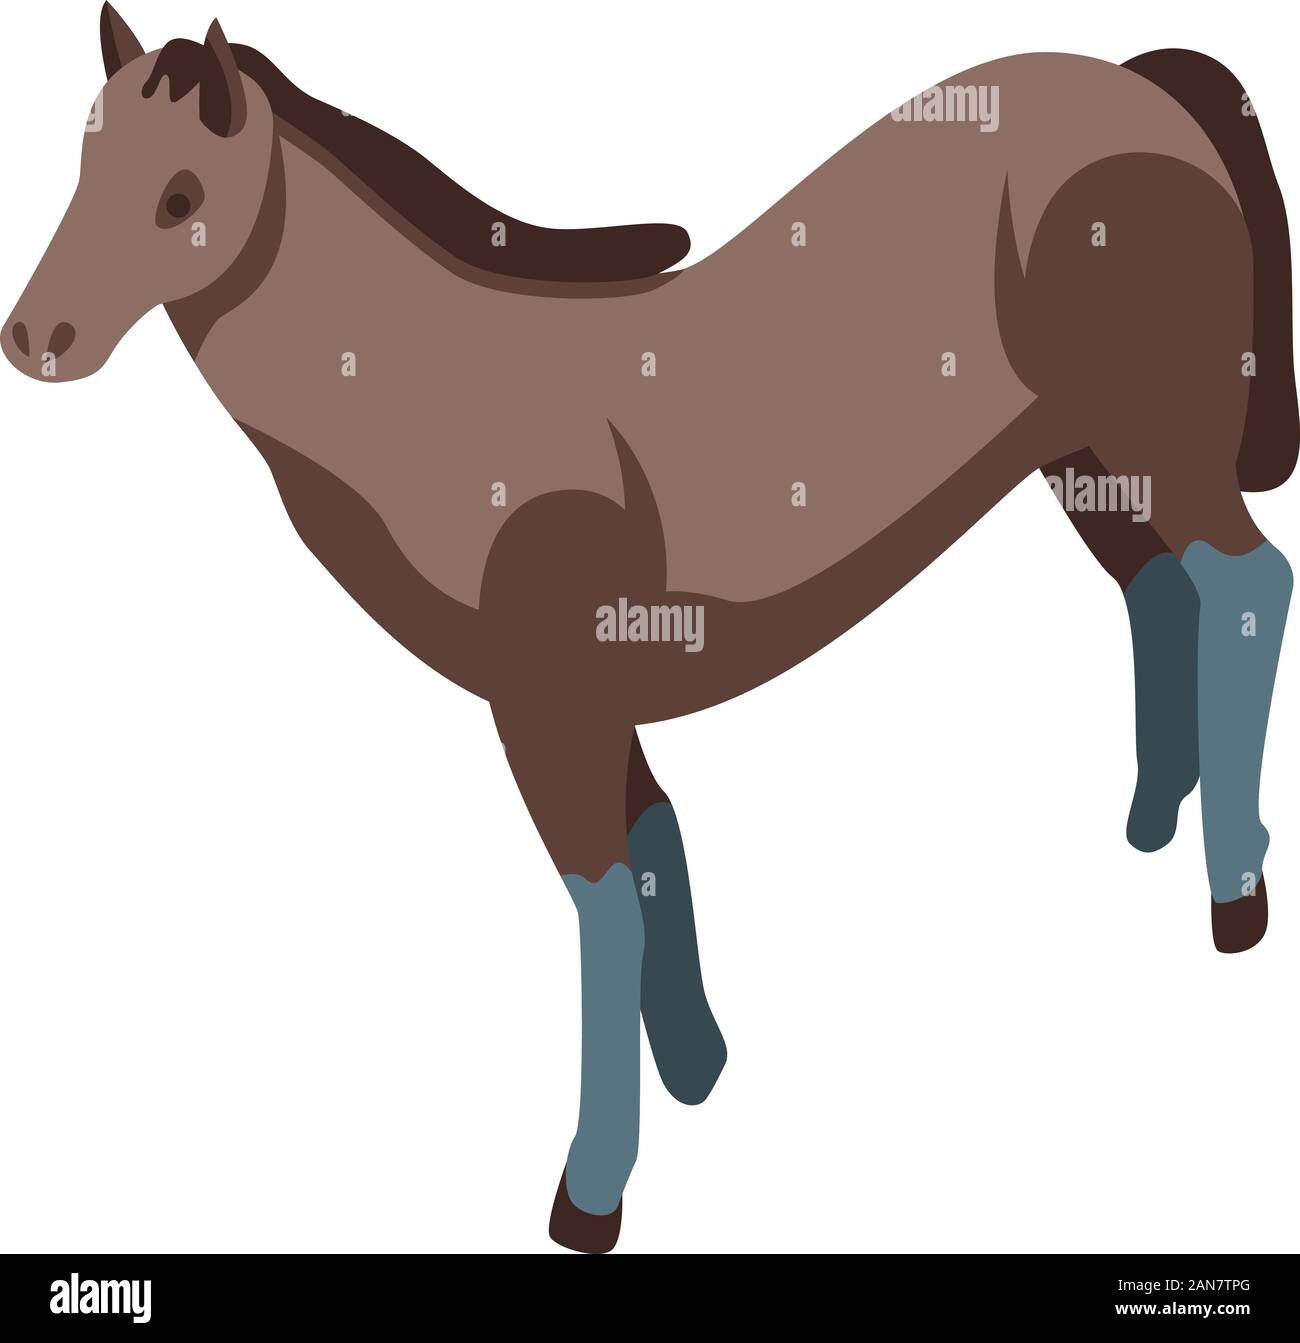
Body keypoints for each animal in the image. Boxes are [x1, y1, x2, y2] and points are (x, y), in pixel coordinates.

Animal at [5, 7, 1294, 1253]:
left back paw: (1234, 889)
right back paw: (1156, 815)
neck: (434, 384)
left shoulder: (548, 705)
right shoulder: (591, 697)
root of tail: (1134, 82)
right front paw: (697, 1064)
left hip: (1153, 430)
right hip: (1083, 456)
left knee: (1245, 578)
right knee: (1158, 591)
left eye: (181, 197)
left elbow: (604, 904)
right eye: (82, 159)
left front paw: (591, 1193)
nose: (36, 338)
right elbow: (657, 845)